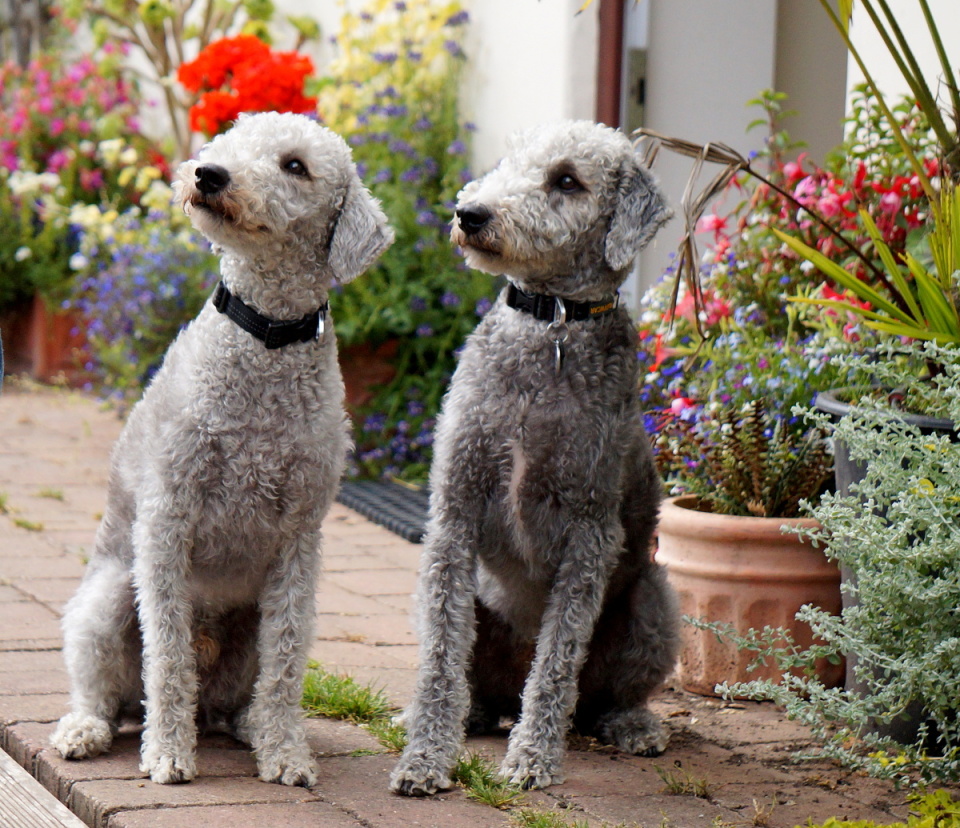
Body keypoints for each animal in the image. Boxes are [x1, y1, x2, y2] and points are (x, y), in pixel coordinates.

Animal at [51, 112, 393, 786]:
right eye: (230, 140)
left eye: (295, 165)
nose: (209, 173)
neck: (265, 337)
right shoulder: (166, 519)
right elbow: (166, 656)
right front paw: (167, 753)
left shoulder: (300, 538)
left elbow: (285, 664)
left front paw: (286, 754)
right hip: (107, 599)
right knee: (107, 692)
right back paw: (87, 731)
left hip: (247, 629)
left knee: (242, 697)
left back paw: (253, 728)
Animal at [391, 120, 680, 795]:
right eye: (510, 161)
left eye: (567, 180)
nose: (470, 214)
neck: (551, 327)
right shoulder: (454, 511)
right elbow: (441, 657)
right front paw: (425, 757)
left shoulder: (590, 531)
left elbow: (557, 660)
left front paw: (532, 759)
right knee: (471, 681)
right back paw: (456, 715)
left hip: (654, 601)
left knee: (602, 697)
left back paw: (633, 726)